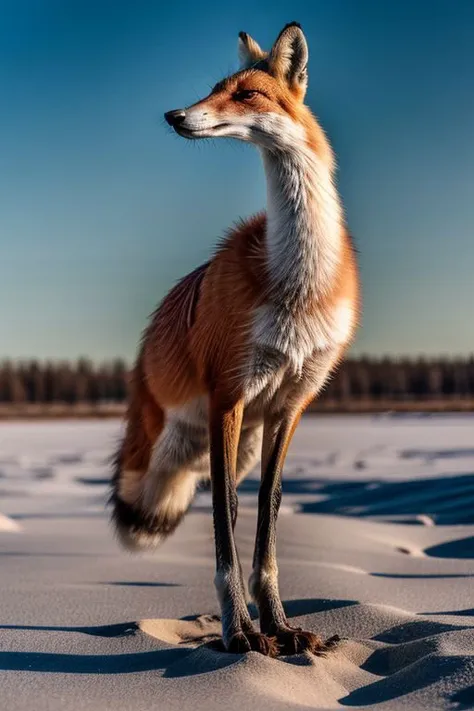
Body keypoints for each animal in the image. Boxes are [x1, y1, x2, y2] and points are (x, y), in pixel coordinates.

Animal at [110, 22, 360, 656]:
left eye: (246, 94)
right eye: (211, 89)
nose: (174, 114)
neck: (297, 283)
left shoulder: (290, 404)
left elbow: (267, 522)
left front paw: (280, 626)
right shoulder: (230, 394)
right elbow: (223, 525)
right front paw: (238, 631)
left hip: (243, 444)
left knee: (239, 500)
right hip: (185, 438)